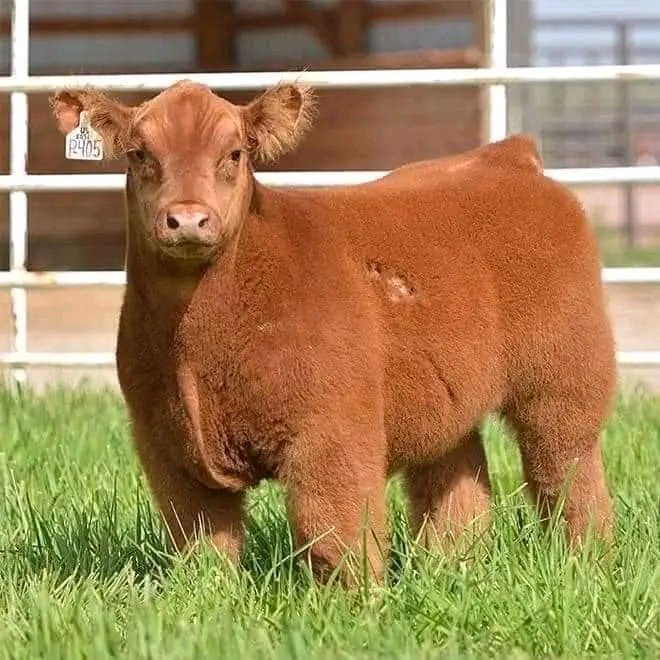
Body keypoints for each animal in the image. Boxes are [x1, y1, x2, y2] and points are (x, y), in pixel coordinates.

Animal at [51, 80, 616, 584]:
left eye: (234, 154)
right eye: (139, 154)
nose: (187, 219)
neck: (197, 343)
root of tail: (506, 156)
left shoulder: (332, 432)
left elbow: (335, 534)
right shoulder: (165, 445)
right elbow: (203, 547)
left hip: (564, 379)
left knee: (566, 472)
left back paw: (585, 561)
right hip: (444, 397)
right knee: (455, 485)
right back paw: (453, 570)